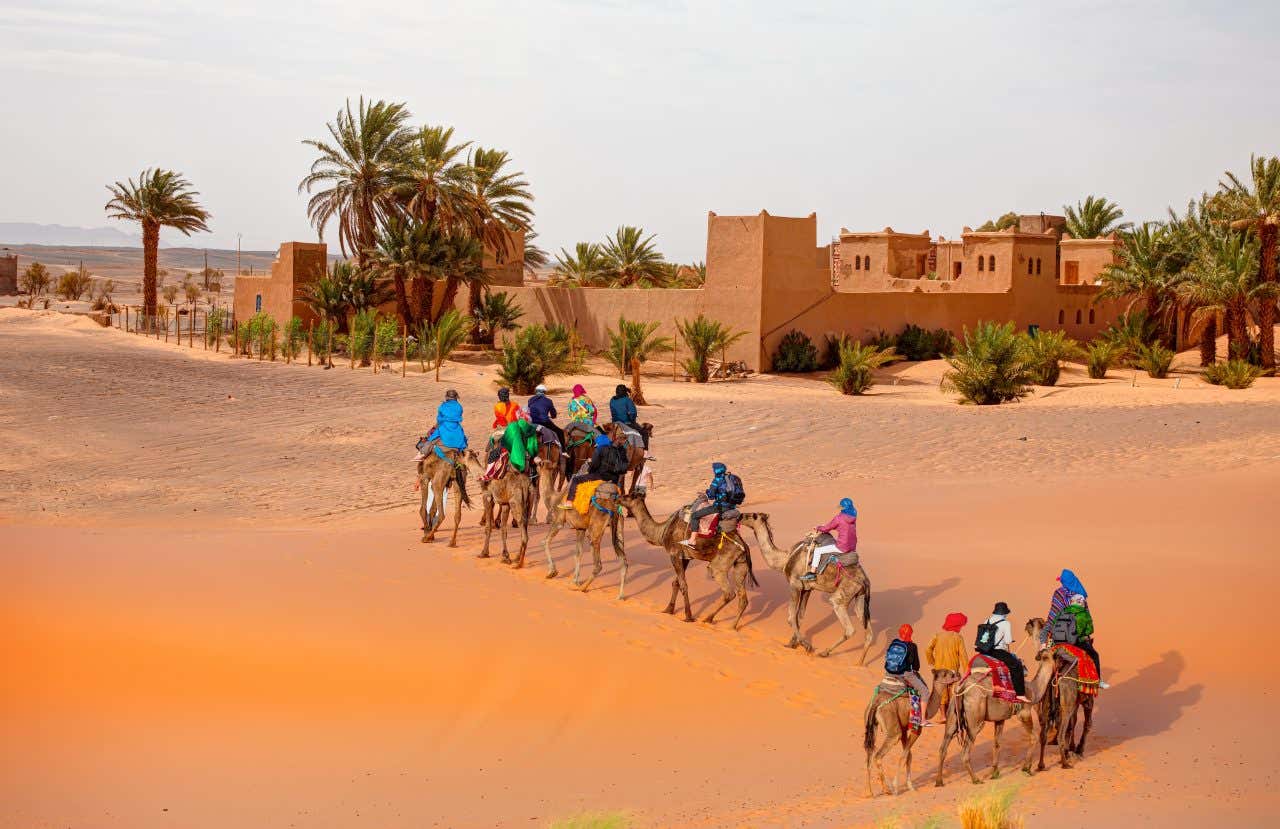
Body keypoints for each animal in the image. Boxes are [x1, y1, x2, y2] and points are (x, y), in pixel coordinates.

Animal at [614, 491, 752, 629]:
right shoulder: (685, 557)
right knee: (743, 598)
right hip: (741, 563)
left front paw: (688, 616)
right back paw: (732, 627)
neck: (663, 530)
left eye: (628, 496)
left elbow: (683, 585)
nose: (616, 498)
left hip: (721, 563)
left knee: (728, 591)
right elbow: (676, 583)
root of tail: (744, 545)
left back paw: (708, 619)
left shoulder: (674, 554)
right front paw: (668, 610)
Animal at [737, 511, 875, 660]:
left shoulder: (795, 585)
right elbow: (800, 617)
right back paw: (859, 663)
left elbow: (791, 617)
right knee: (868, 632)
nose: (739, 516)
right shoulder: (807, 589)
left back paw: (824, 652)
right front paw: (792, 643)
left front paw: (806, 646)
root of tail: (865, 581)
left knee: (848, 627)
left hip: (844, 594)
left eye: (751, 515)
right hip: (859, 597)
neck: (786, 558)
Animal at [870, 665, 952, 798]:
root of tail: (876, 705)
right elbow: (904, 756)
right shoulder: (916, 728)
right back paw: (889, 789)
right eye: (945, 674)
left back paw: (871, 792)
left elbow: (909, 756)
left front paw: (911, 787)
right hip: (892, 729)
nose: (957, 674)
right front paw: (896, 787)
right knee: (878, 755)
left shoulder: (904, 729)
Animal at [931, 631, 1049, 788]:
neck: (1034, 689)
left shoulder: (1000, 718)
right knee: (965, 752)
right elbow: (1033, 737)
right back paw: (976, 779)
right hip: (975, 720)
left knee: (943, 748)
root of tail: (962, 687)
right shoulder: (1024, 711)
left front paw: (995, 773)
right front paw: (1027, 768)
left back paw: (939, 781)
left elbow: (997, 744)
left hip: (952, 717)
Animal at [1024, 614, 1095, 772]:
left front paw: (1071, 749)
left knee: (1043, 734)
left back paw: (1041, 765)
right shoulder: (1087, 700)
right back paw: (1065, 763)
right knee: (1062, 732)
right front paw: (1078, 749)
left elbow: (1073, 723)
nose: (1026, 625)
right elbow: (1085, 724)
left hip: (1048, 703)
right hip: (1067, 704)